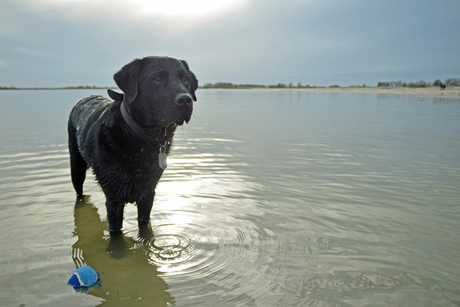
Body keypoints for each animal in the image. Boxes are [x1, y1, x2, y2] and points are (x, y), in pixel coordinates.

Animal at [68, 56, 198, 232]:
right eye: (157, 78)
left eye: (185, 79)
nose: (186, 99)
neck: (140, 139)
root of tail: (84, 98)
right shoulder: (114, 199)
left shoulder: (148, 194)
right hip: (76, 168)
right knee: (79, 192)